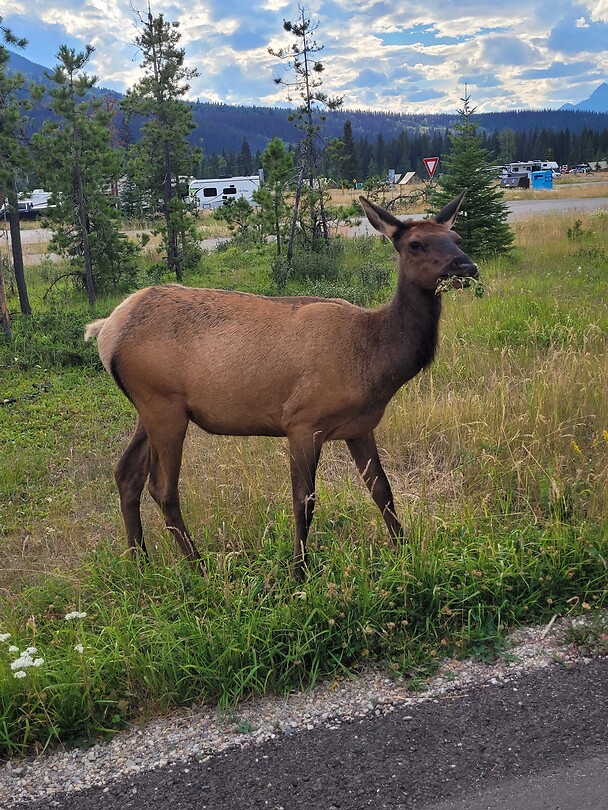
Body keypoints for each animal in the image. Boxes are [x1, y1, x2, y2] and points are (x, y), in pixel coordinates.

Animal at [85, 191, 477, 578]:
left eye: (456, 238)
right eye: (415, 244)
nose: (467, 267)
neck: (374, 359)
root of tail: (105, 331)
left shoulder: (360, 427)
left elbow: (382, 490)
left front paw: (404, 552)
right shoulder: (302, 421)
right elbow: (304, 499)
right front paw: (299, 570)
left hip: (149, 408)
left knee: (126, 474)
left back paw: (139, 562)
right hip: (163, 405)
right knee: (163, 487)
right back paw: (198, 567)